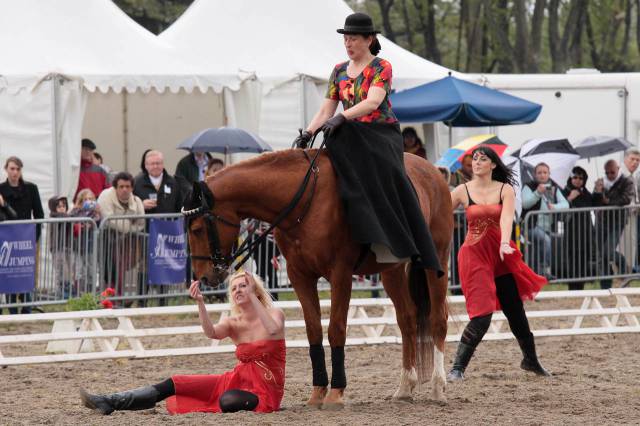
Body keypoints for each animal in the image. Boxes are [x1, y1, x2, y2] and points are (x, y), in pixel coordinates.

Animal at [182, 148, 452, 408]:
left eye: (196, 229)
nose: (204, 276)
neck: (304, 202)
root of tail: (433, 171)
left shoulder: (340, 273)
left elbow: (336, 329)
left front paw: (336, 393)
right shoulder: (300, 275)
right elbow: (313, 330)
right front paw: (317, 393)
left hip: (437, 260)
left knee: (437, 319)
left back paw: (438, 388)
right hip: (391, 271)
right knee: (407, 320)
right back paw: (405, 387)